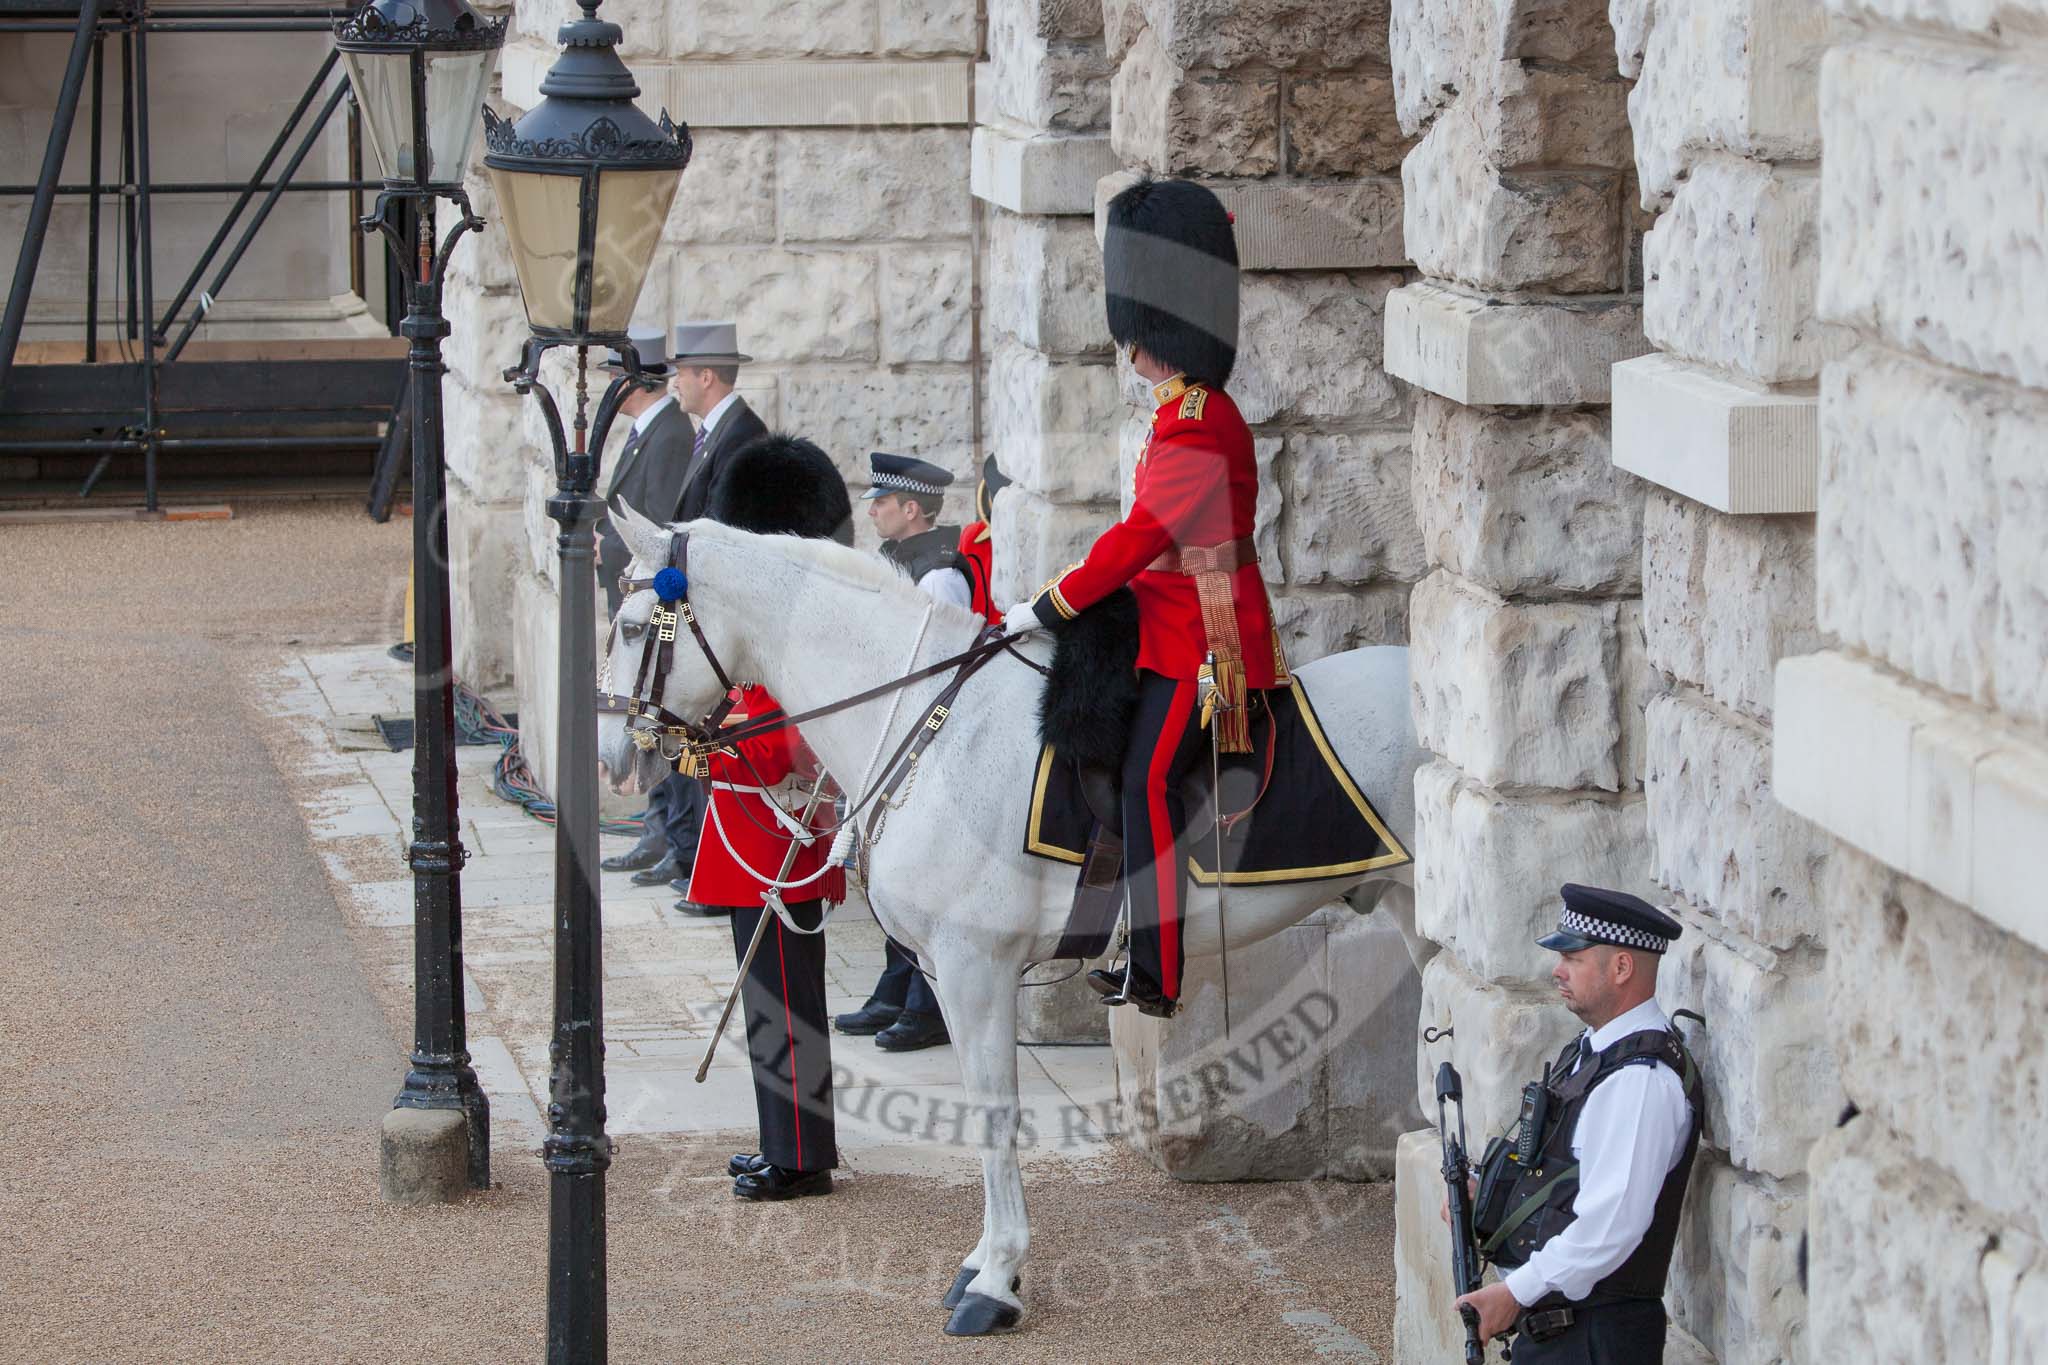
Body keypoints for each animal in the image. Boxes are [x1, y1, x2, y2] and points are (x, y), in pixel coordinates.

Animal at [593, 511, 1425, 1334]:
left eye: (632, 626)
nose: (613, 756)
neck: (932, 723)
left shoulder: (976, 966)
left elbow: (996, 1112)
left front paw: (995, 1281)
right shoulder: (948, 970)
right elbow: (980, 1105)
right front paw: (982, 1263)